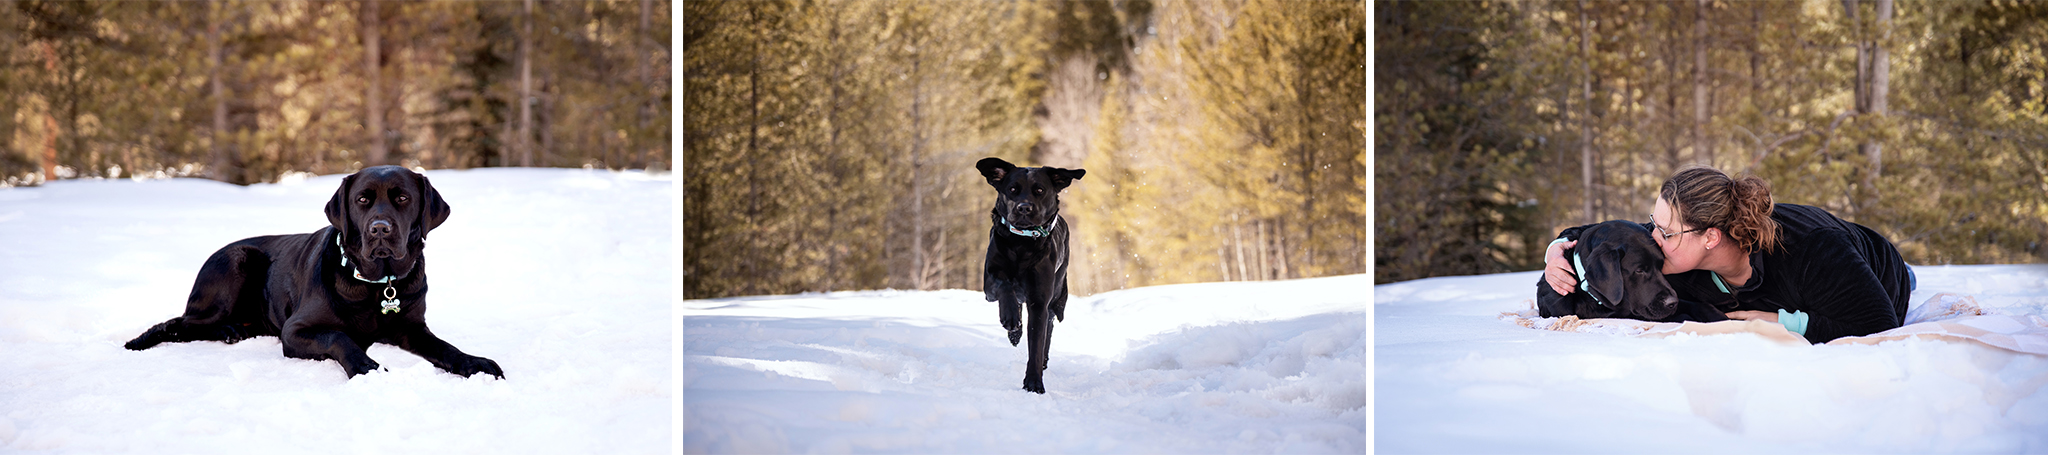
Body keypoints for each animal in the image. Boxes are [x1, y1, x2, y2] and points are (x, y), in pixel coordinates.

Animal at [123, 164, 503, 379]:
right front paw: (367, 366)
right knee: (180, 324)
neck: (377, 284)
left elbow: (446, 348)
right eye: (362, 200)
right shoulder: (294, 331)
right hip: (237, 261)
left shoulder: (412, 327)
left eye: (402, 198)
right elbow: (339, 337)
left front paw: (475, 363)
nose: (379, 229)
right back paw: (223, 329)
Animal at [978, 156, 1089, 395]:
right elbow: (1005, 285)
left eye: (1039, 190)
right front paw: (1010, 318)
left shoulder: (1039, 301)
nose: (1024, 207)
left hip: (1056, 295)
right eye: (1012, 189)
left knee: (1048, 329)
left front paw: (1034, 383)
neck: (1022, 242)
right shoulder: (989, 284)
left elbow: (1036, 344)